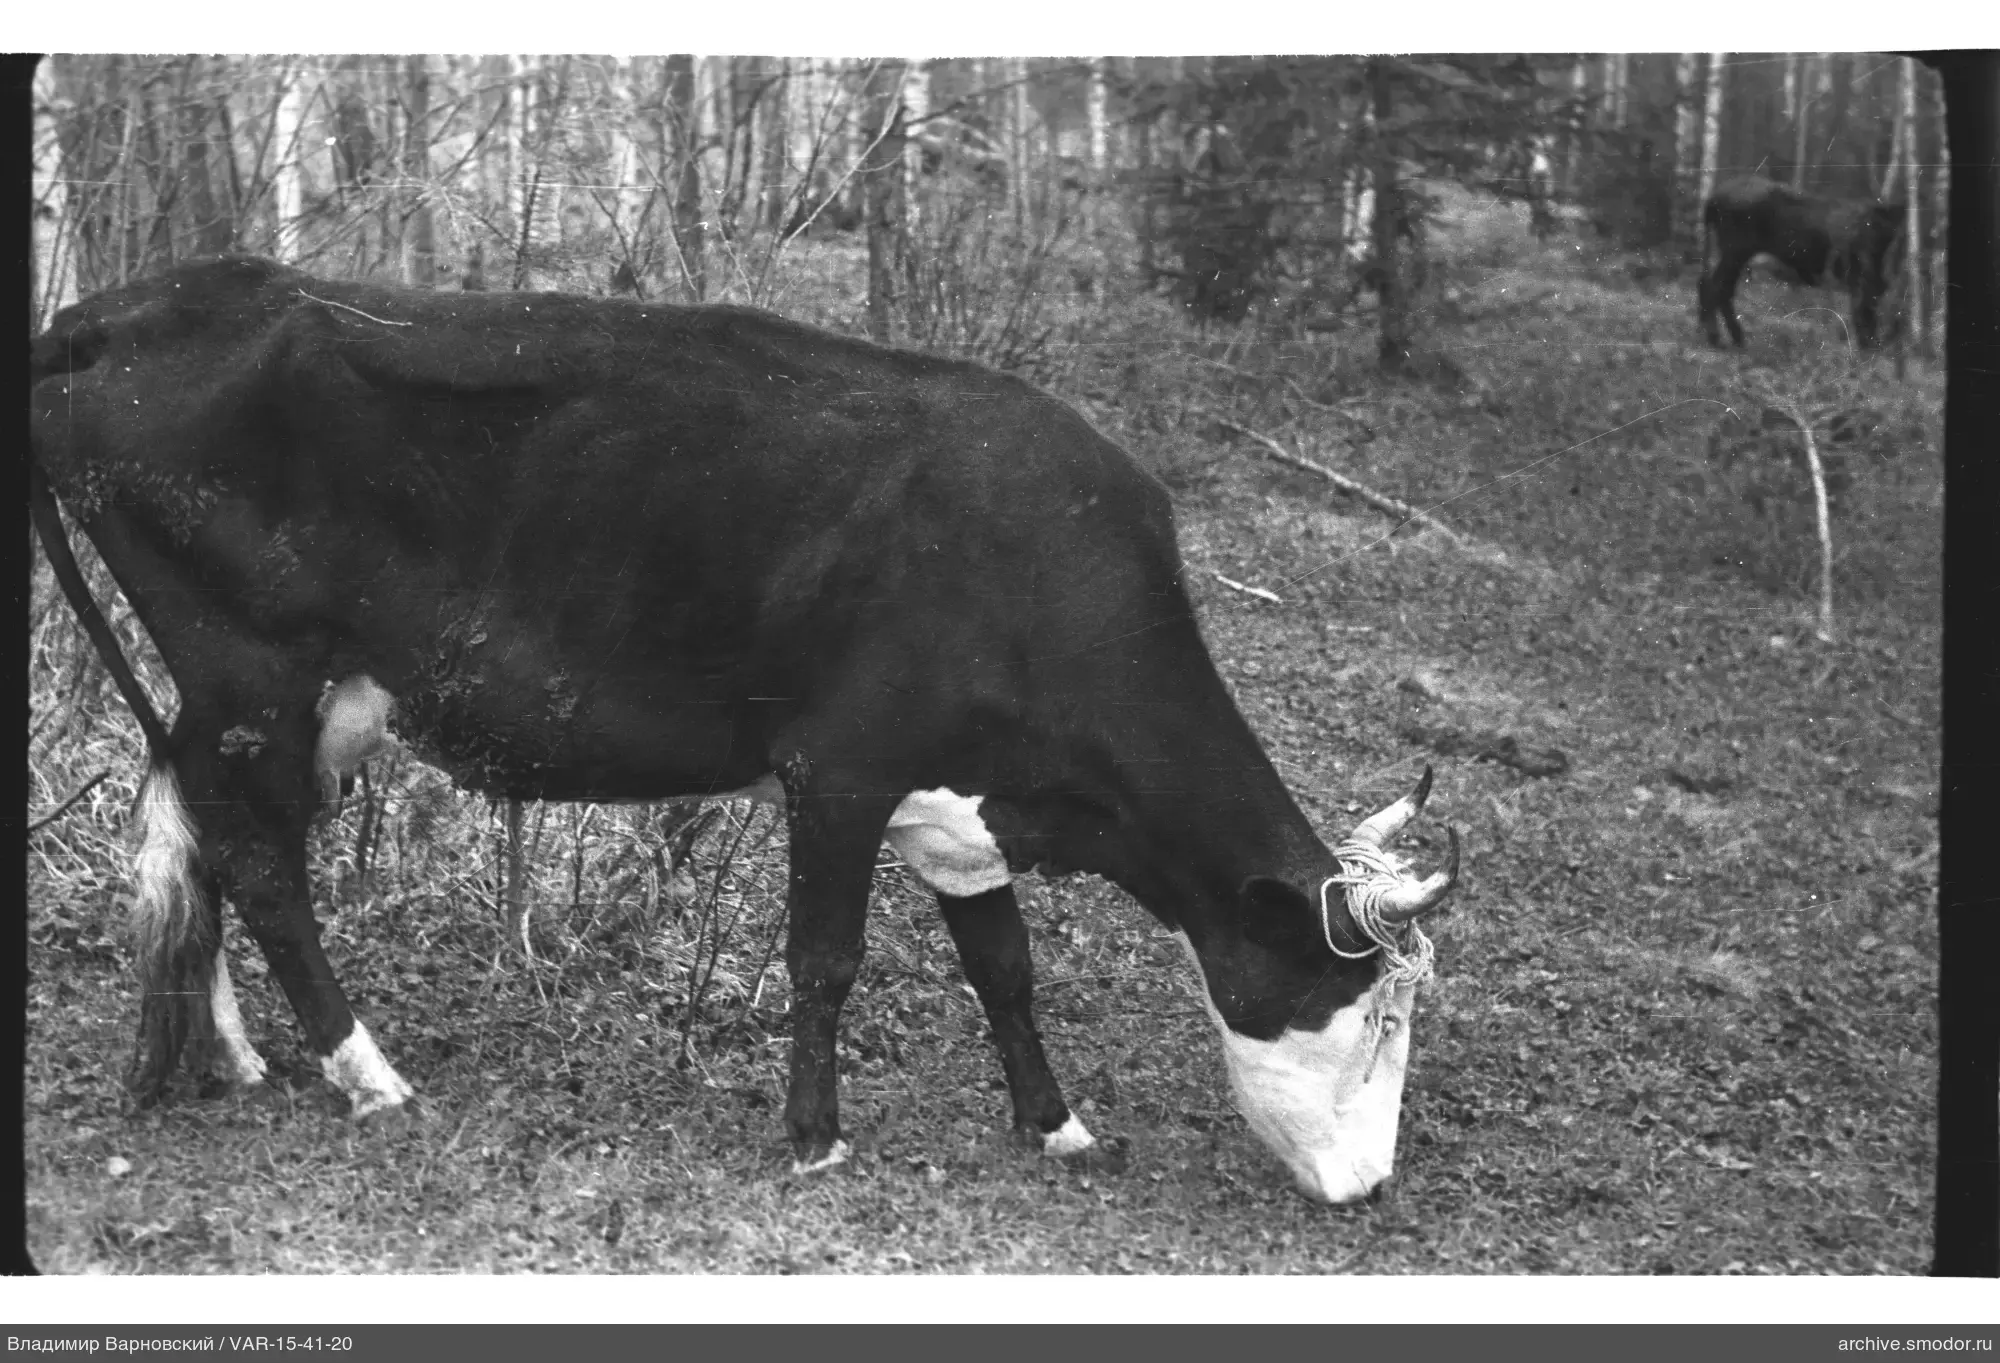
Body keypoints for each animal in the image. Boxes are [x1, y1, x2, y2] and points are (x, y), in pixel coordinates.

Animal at [30, 256, 1460, 1205]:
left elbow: (1004, 967)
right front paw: (814, 1135)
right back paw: (363, 1071)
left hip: (272, 703)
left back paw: (231, 1053)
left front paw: (1053, 1125)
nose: (1373, 1187)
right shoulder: (840, 768)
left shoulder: (962, 804)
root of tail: (139, 300)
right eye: (1363, 1006)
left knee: (207, 837)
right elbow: (825, 958)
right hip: (250, 674)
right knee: (262, 862)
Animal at [1698, 175, 1905, 350]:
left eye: (1888, 233)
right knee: (1715, 287)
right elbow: (1863, 316)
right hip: (1734, 252)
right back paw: (1720, 338)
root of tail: (1712, 199)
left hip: (1733, 255)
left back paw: (1734, 339)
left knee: (1717, 287)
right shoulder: (1860, 282)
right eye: (1867, 228)